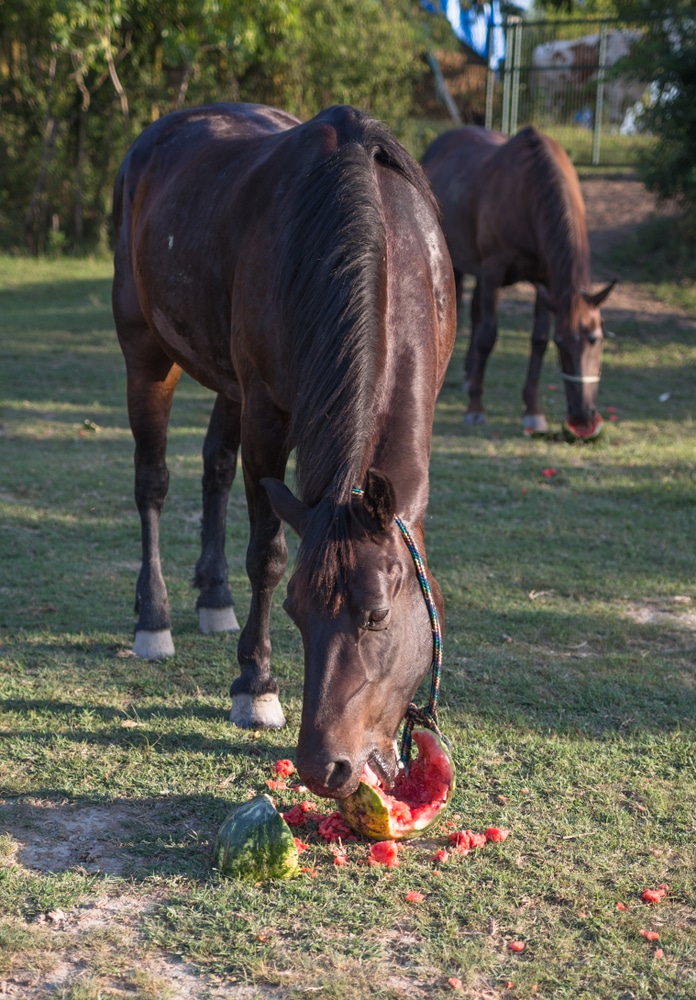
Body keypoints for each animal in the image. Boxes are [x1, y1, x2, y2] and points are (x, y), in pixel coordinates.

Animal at [113, 101, 456, 800]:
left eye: (377, 617)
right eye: (297, 614)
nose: (325, 767)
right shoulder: (268, 415)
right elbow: (267, 555)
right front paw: (256, 685)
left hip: (226, 380)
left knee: (214, 468)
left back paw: (214, 598)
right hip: (146, 351)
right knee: (152, 482)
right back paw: (154, 618)